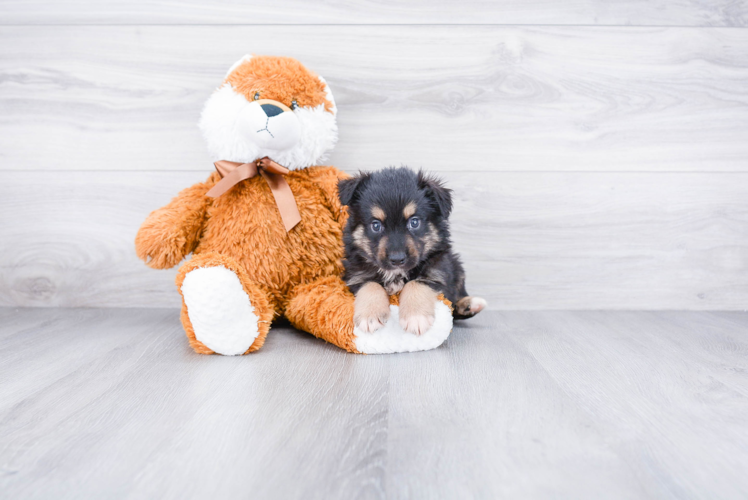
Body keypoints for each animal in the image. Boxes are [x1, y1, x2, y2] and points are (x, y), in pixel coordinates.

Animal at [338, 167, 486, 336]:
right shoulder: (356, 275)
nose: (397, 259)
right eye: (375, 225)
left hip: (456, 266)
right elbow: (371, 285)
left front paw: (415, 318)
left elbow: (416, 284)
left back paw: (470, 304)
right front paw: (370, 316)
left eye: (414, 222)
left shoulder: (437, 272)